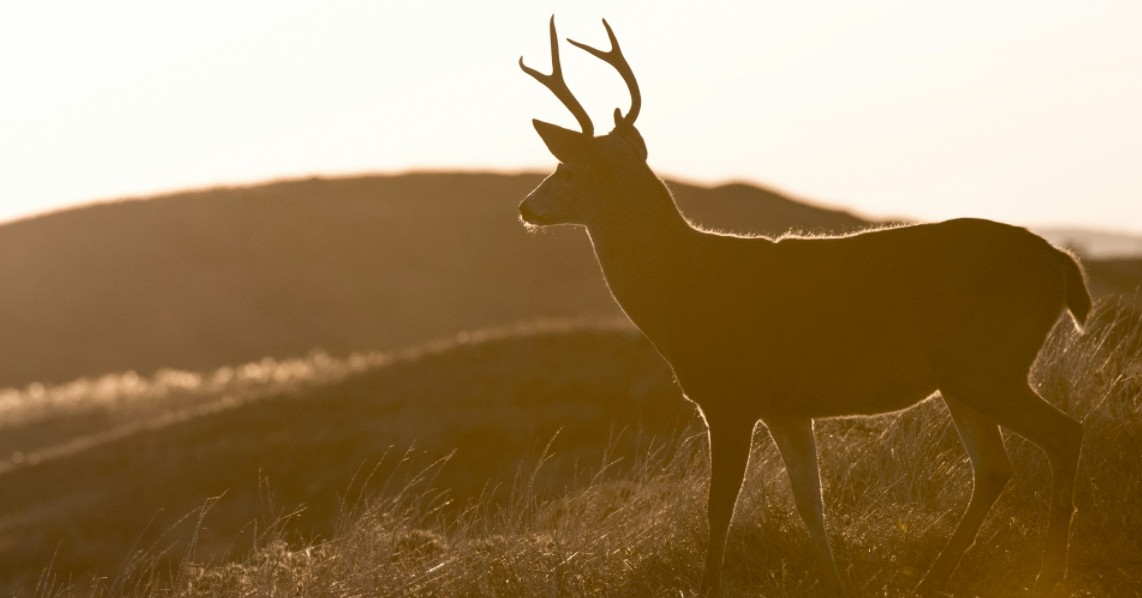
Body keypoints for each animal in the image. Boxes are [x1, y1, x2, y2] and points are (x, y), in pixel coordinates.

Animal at [516, 16, 1087, 593]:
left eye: (566, 168)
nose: (526, 207)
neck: (684, 285)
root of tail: (1062, 263)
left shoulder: (729, 397)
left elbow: (719, 508)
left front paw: (709, 586)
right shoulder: (786, 408)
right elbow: (810, 503)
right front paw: (836, 584)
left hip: (988, 364)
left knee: (1064, 434)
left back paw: (1049, 573)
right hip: (966, 376)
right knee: (994, 466)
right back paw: (935, 577)